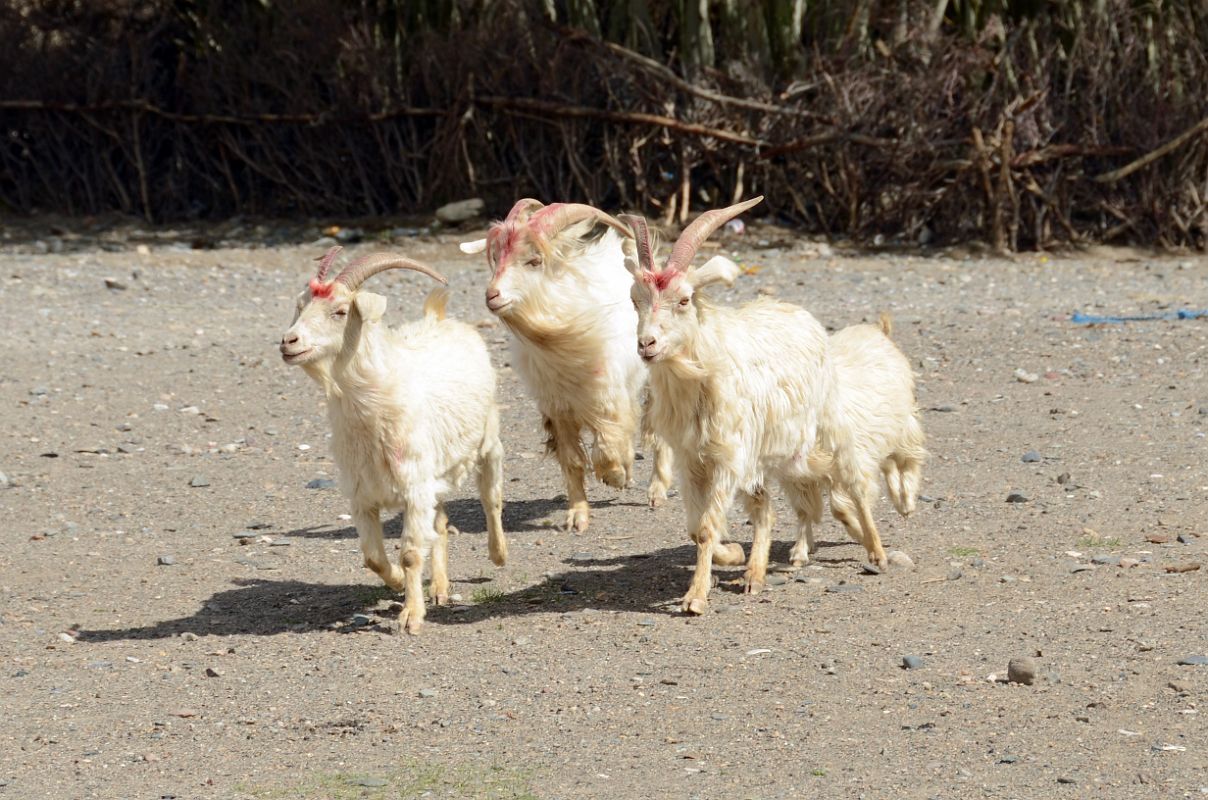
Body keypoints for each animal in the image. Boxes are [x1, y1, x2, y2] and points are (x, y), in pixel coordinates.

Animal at [280, 247, 507, 638]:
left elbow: (412, 552)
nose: (288, 342)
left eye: (340, 311)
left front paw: (410, 616)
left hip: (487, 441)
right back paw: (440, 589)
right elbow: (373, 557)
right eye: (300, 306)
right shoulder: (362, 496)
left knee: (490, 498)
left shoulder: (414, 490)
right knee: (440, 524)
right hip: (434, 474)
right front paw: (400, 582)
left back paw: (498, 554)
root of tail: (438, 317)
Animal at [459, 199, 676, 531]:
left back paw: (656, 490)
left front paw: (617, 476)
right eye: (497, 258)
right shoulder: (556, 405)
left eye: (534, 260)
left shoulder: (609, 392)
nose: (492, 295)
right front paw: (577, 516)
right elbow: (572, 460)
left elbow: (609, 445)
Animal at [787, 316, 927, 567]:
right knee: (888, 464)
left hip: (902, 425)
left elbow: (841, 509)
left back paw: (906, 503)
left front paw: (864, 537)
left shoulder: (849, 464)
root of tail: (877, 330)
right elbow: (804, 511)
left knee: (909, 459)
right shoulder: (798, 479)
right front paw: (800, 552)